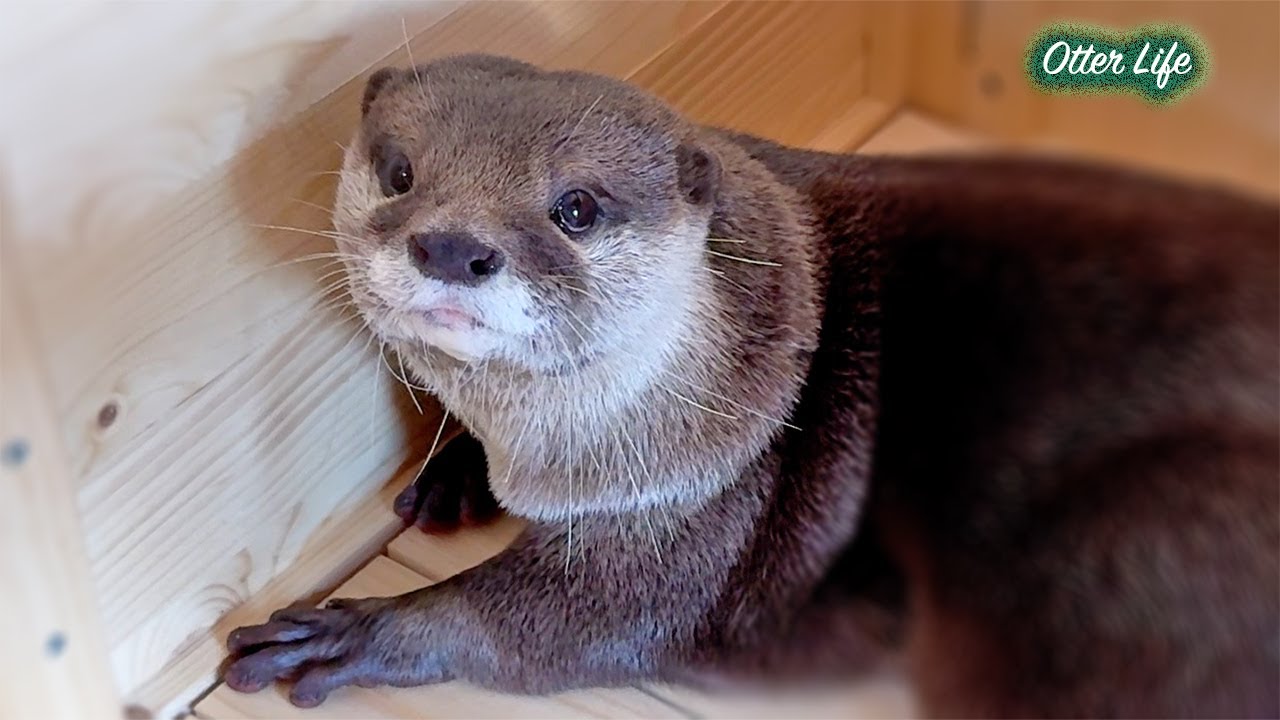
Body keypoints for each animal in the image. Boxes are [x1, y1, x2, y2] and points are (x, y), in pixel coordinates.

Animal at [223, 54, 1279, 717]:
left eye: (576, 208)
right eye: (400, 172)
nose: (450, 245)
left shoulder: (712, 497)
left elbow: (565, 620)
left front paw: (361, 632)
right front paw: (454, 473)